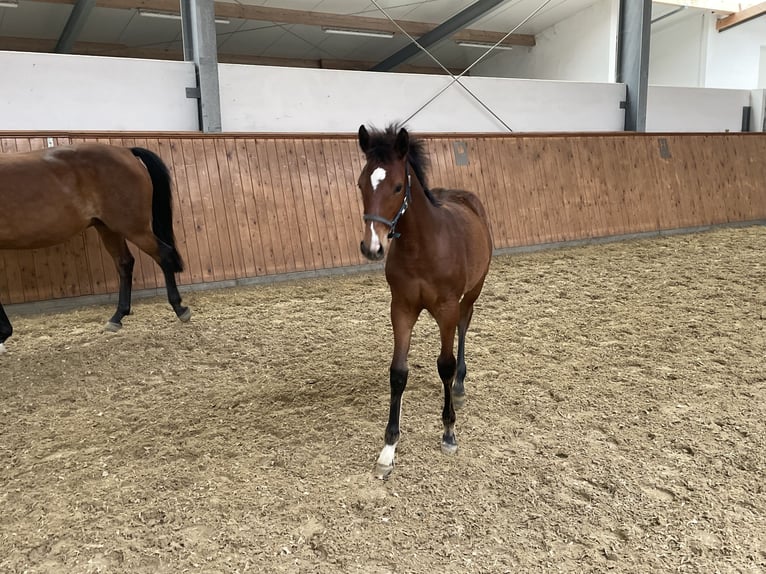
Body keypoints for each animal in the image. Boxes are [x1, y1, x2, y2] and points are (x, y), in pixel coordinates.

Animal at [0, 143, 190, 356]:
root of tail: (126, 151)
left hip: (134, 229)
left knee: (163, 255)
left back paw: (180, 309)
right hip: (107, 228)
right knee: (125, 263)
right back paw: (117, 317)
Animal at [358, 124, 496, 480]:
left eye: (397, 186)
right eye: (361, 184)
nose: (372, 247)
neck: (423, 247)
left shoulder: (446, 307)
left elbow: (444, 365)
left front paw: (448, 432)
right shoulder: (401, 309)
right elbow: (398, 373)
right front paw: (388, 449)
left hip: (472, 292)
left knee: (463, 326)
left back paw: (460, 386)